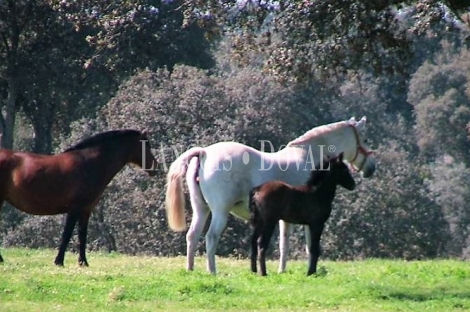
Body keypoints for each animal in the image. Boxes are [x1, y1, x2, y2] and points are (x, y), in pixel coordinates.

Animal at [0, 129, 158, 266]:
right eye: (146, 145)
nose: (155, 166)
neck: (89, 165)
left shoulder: (86, 210)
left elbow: (82, 234)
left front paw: (83, 262)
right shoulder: (74, 209)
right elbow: (67, 234)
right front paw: (59, 261)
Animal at [164, 116, 374, 272]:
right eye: (364, 139)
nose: (371, 169)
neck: (309, 157)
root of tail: (204, 153)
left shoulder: (284, 219)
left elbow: (284, 244)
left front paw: (282, 271)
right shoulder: (309, 220)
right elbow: (309, 246)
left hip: (201, 209)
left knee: (192, 235)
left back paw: (190, 269)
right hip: (220, 212)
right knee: (211, 237)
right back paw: (212, 271)